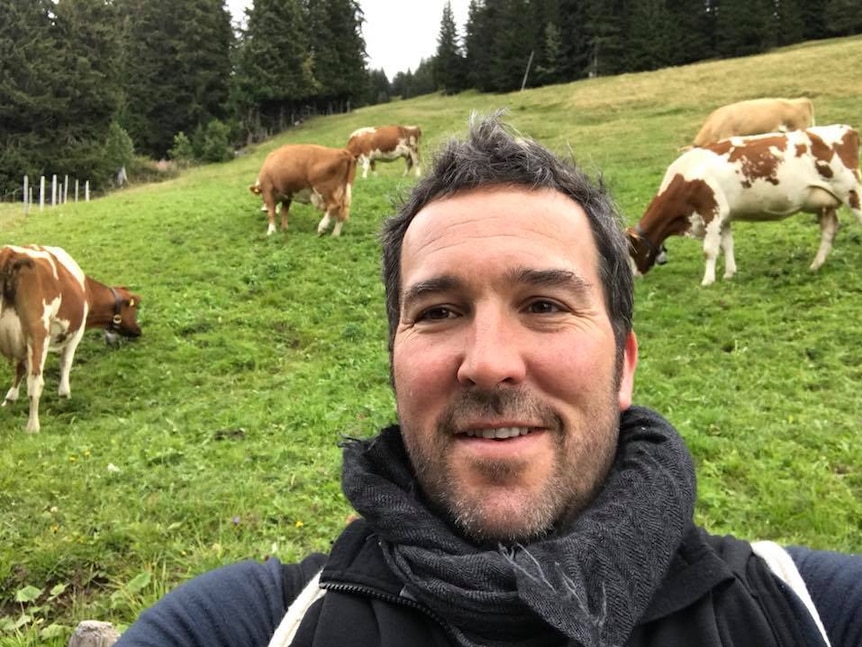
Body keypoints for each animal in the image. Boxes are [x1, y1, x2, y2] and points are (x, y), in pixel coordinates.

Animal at [0, 246, 142, 432]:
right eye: (135, 308)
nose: (139, 331)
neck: (86, 289)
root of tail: (11, 254)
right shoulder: (76, 333)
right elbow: (65, 363)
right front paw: (64, 394)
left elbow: (20, 368)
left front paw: (10, 399)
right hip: (39, 335)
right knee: (36, 382)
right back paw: (33, 427)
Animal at [628, 126, 862, 286]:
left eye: (632, 251)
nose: (633, 276)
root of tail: (845, 129)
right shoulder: (724, 216)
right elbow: (727, 245)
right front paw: (729, 273)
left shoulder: (711, 212)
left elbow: (709, 250)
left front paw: (708, 280)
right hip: (826, 203)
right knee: (829, 230)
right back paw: (815, 265)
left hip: (851, 190)